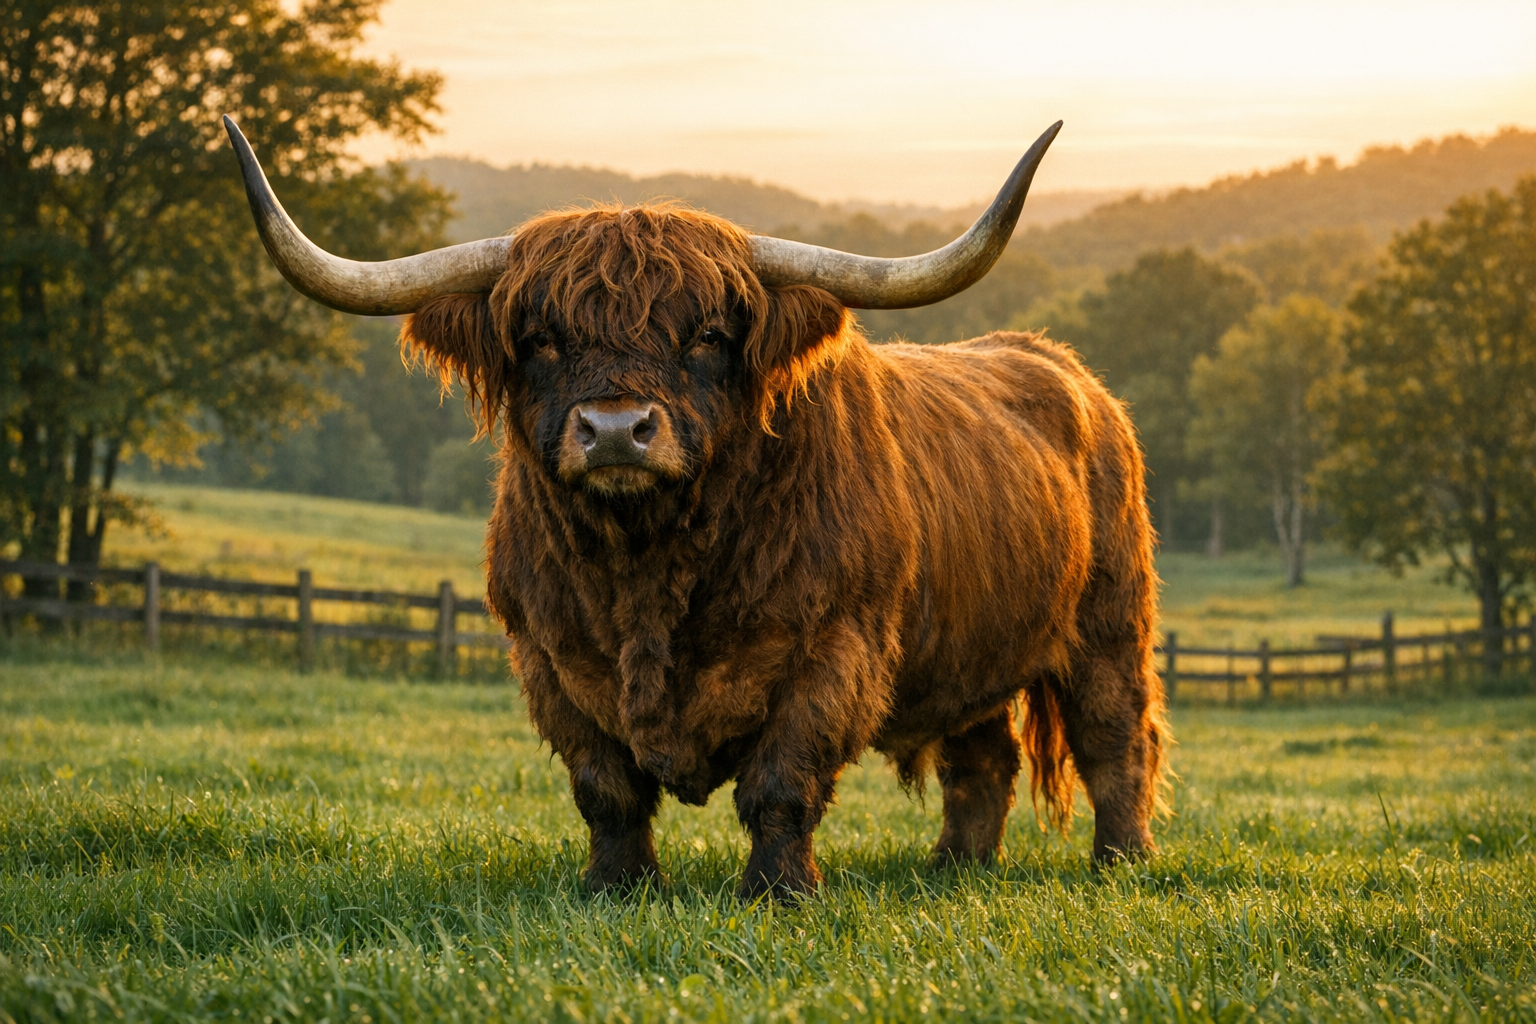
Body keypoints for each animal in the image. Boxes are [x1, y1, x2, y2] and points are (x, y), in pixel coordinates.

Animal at [224, 116, 1167, 898]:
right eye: (540, 340)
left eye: (708, 337)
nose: (615, 430)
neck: (647, 572)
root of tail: (1060, 365)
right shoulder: (547, 657)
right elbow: (604, 790)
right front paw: (617, 887)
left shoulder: (835, 647)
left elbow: (782, 783)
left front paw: (779, 892)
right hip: (977, 648)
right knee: (982, 756)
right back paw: (956, 866)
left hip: (1109, 624)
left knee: (1115, 739)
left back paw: (1121, 863)